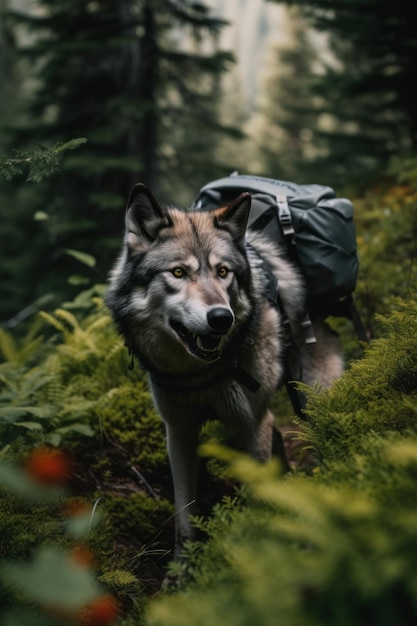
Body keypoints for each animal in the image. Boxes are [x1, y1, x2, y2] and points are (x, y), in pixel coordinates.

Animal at [105, 180, 342, 552]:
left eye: (222, 272)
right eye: (178, 272)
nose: (221, 318)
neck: (197, 373)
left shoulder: (252, 424)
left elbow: (258, 500)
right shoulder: (179, 432)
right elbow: (184, 515)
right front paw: (184, 563)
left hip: (312, 396)